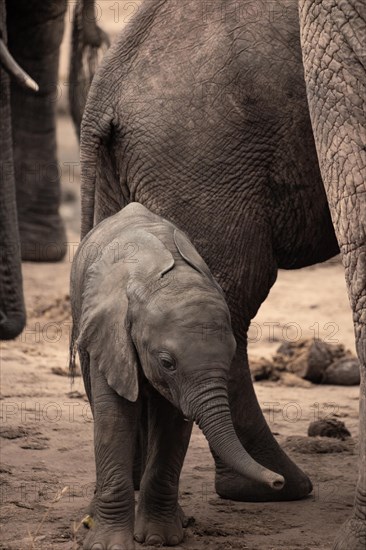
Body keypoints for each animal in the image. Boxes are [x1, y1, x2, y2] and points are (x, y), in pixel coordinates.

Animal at [71, 204, 284, 550]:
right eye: (166, 363)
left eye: (230, 356)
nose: (278, 481)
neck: (157, 281)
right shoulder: (110, 332)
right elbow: (114, 420)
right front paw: (108, 545)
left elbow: (172, 425)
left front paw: (159, 538)